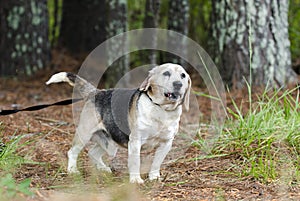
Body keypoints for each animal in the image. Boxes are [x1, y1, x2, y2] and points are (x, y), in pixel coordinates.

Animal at [47, 63, 192, 184]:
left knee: (93, 153)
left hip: (109, 142)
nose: (178, 84)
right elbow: (135, 162)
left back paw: (103, 168)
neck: (161, 109)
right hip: (84, 134)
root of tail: (96, 92)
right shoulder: (135, 142)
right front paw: (135, 180)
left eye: (183, 75)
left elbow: (156, 163)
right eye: (166, 73)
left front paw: (154, 177)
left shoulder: (166, 143)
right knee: (72, 152)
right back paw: (72, 170)